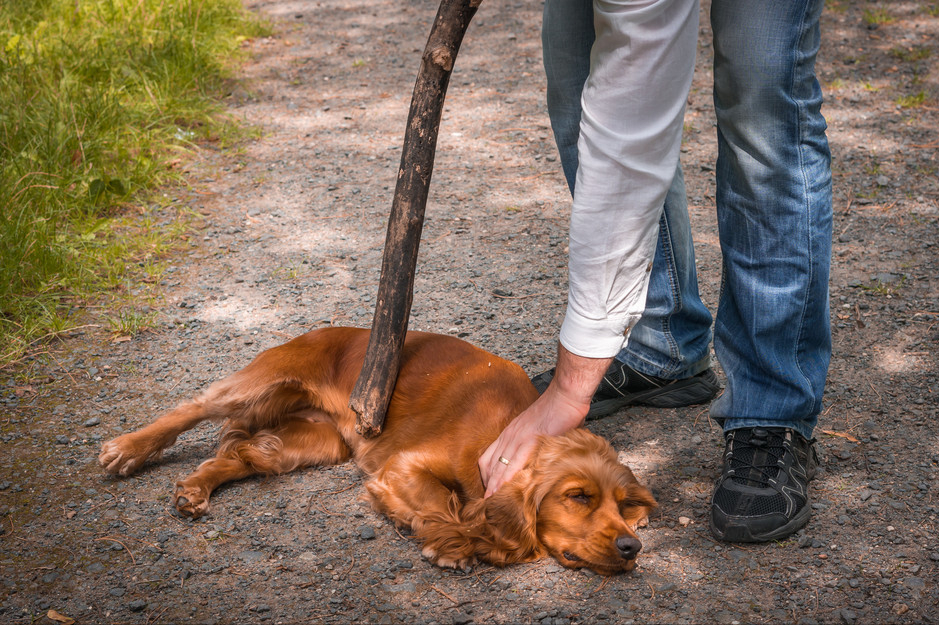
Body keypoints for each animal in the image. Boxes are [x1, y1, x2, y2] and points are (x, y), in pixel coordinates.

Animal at [95, 330, 652, 572]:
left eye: (623, 506)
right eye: (577, 496)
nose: (633, 548)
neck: (508, 430)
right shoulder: (402, 466)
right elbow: (443, 505)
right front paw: (454, 544)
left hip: (311, 443)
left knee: (241, 456)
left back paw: (193, 491)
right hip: (263, 380)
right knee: (190, 408)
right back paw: (127, 448)